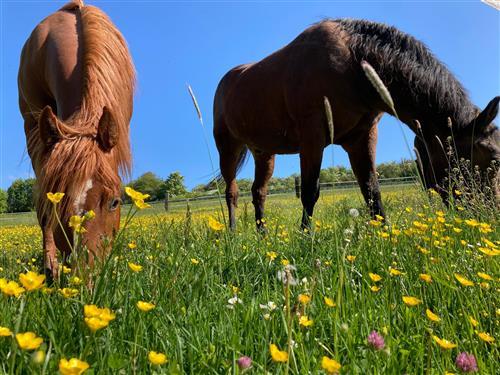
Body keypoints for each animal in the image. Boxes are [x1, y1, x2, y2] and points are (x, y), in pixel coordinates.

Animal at [213, 19, 498, 231]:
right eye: (493, 157)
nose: (490, 215)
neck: (353, 61)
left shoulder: (362, 138)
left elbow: (372, 191)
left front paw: (385, 236)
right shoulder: (312, 138)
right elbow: (310, 191)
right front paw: (306, 237)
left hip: (264, 153)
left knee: (258, 193)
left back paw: (262, 235)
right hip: (228, 148)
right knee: (232, 192)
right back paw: (233, 233)